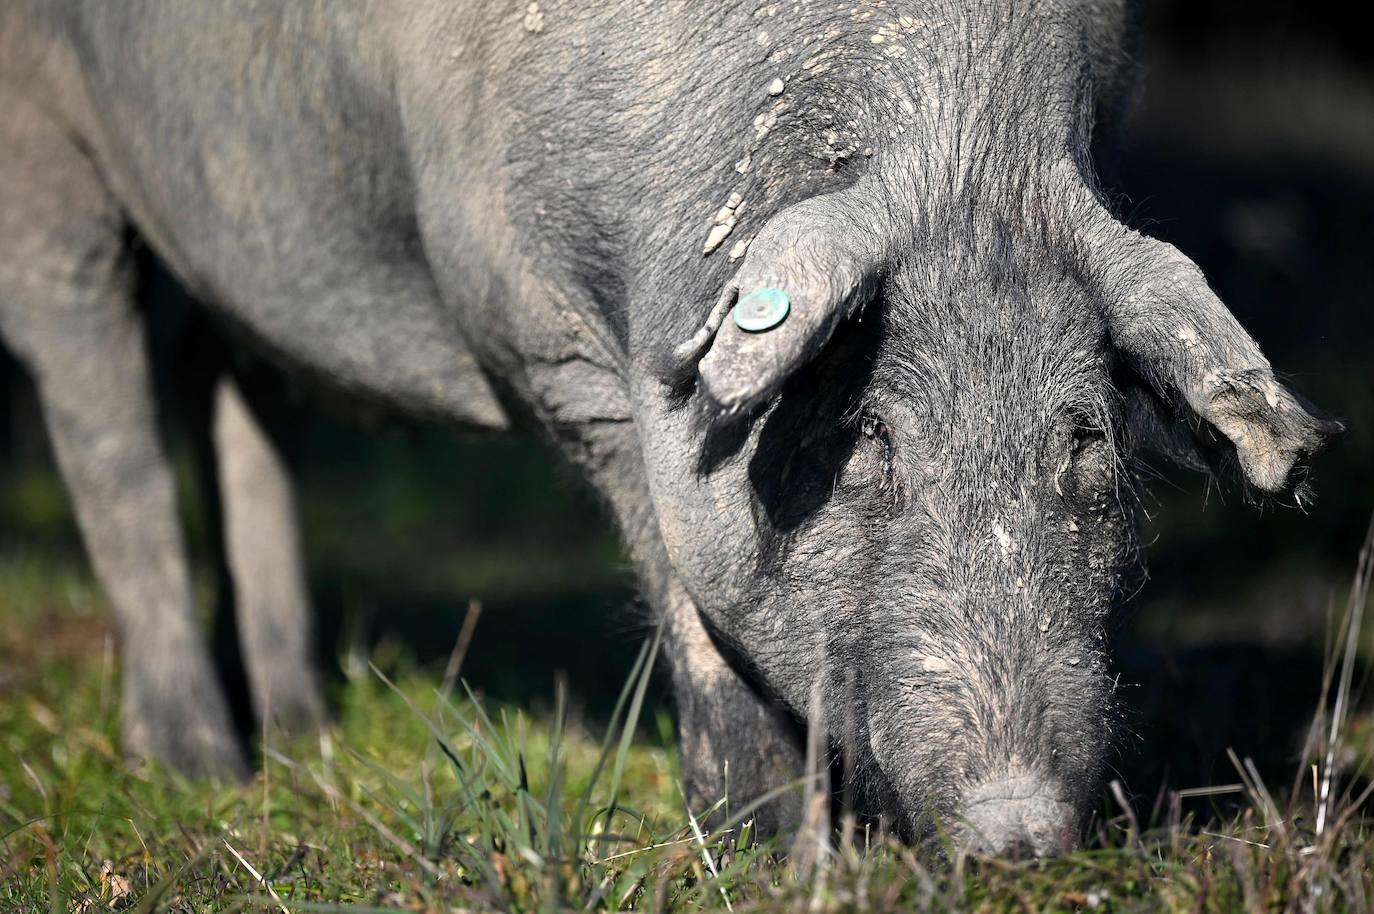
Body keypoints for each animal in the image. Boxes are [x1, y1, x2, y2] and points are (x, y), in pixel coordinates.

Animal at [0, 0, 1339, 856]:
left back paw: (299, 728)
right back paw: (200, 765)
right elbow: (682, 584)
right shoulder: (561, 343)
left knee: (236, 389)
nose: (1019, 834)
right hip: (44, 143)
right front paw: (764, 846)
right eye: (868, 435)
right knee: (102, 400)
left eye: (1085, 441)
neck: (957, 145)